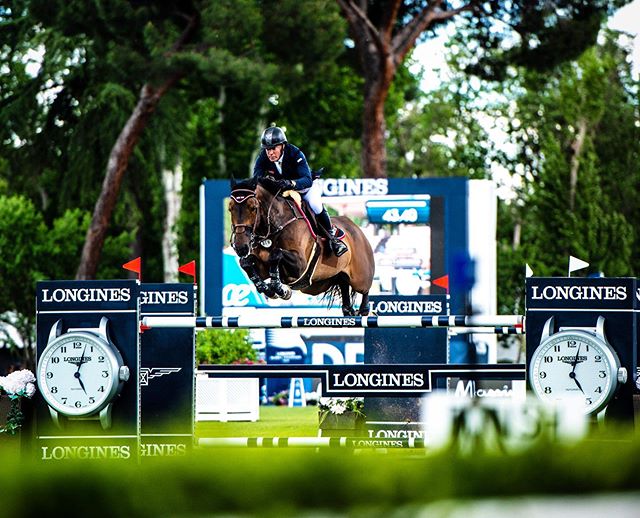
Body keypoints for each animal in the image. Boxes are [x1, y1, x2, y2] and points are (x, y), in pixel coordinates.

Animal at [228, 178, 376, 316]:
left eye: (253, 207)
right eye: (230, 208)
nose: (240, 247)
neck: (274, 227)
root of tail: (356, 227)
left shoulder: (300, 266)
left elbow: (276, 254)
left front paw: (279, 289)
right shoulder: (262, 267)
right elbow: (246, 263)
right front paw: (268, 289)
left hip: (359, 278)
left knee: (365, 289)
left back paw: (364, 309)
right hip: (328, 280)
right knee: (344, 286)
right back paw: (349, 311)